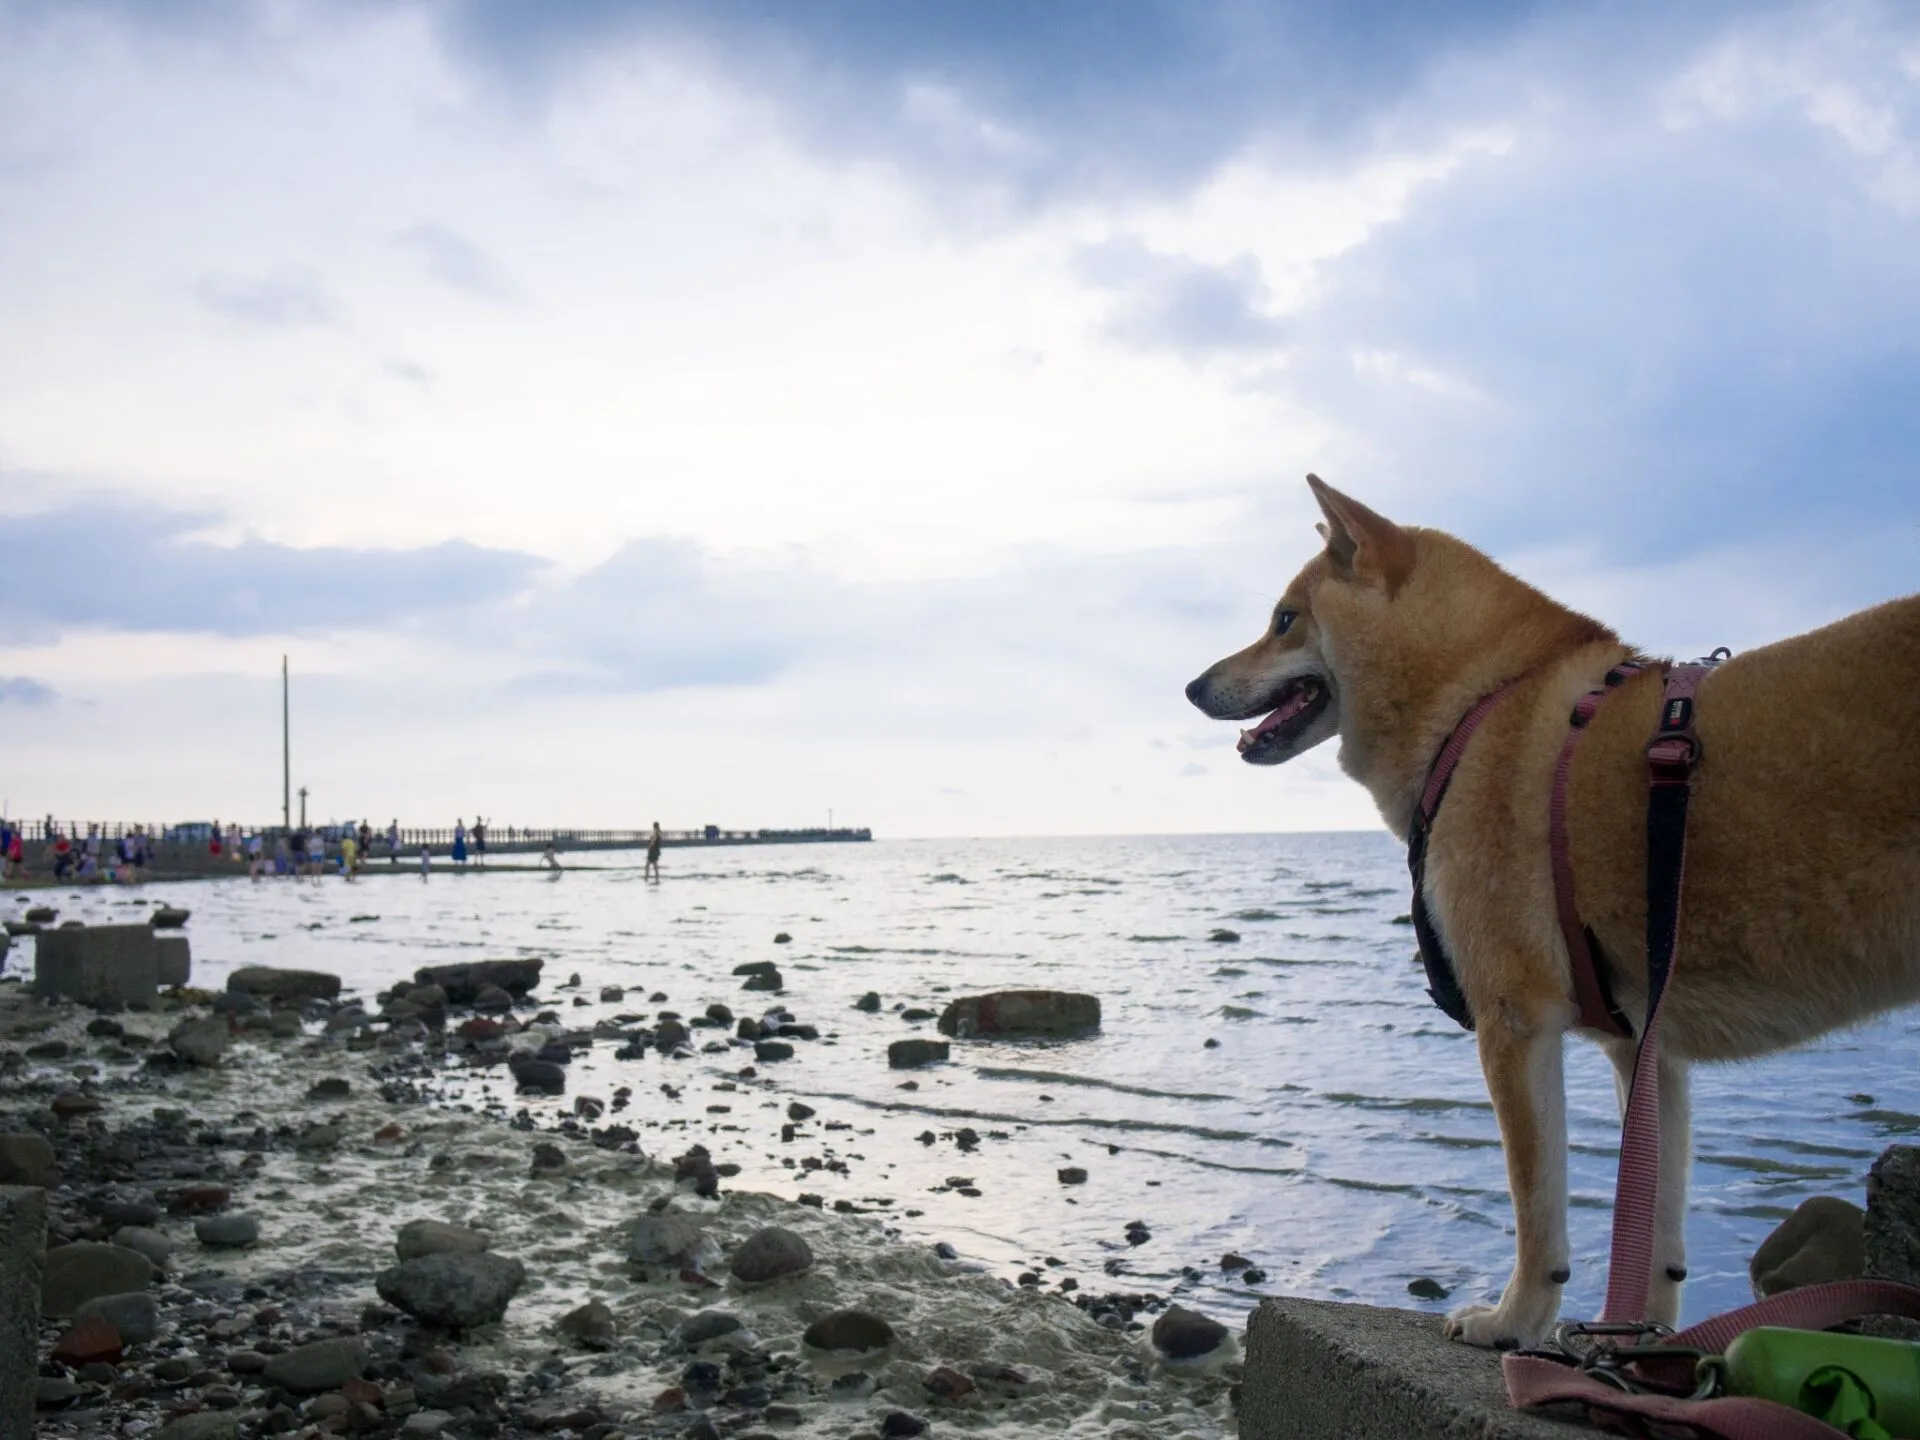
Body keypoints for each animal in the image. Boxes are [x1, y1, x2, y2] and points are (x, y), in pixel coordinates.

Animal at [1182, 476, 1920, 1351]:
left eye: (1285, 620)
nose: (1193, 685)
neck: (1478, 701)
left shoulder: (1515, 1017)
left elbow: (1538, 1205)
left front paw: (1515, 1321)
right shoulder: (1644, 1046)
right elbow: (1653, 1233)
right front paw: (1633, 1341)